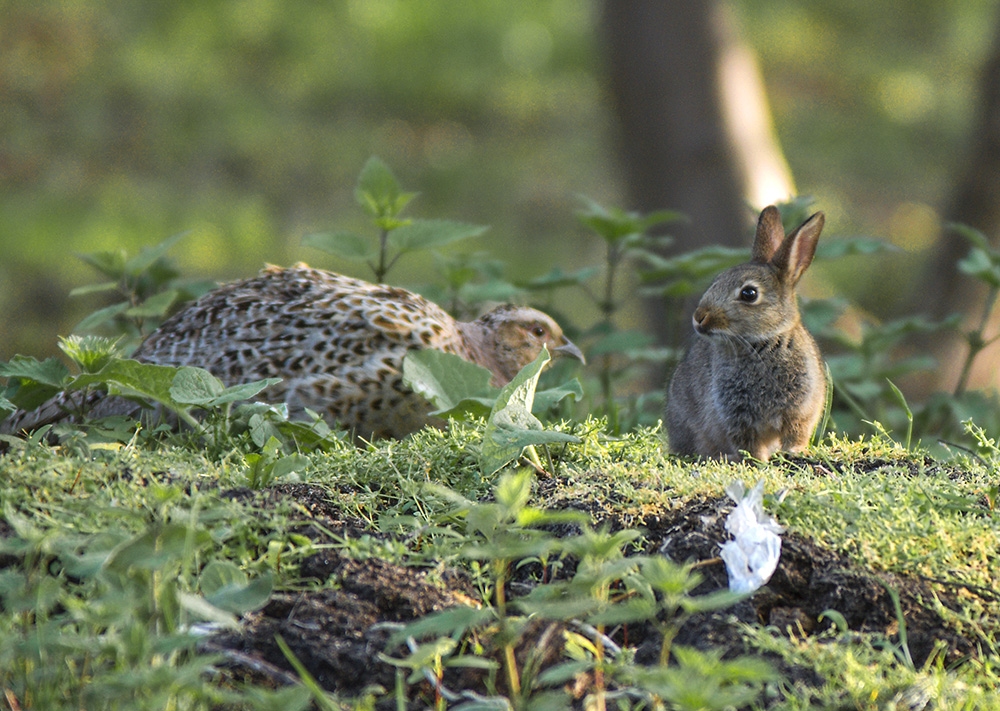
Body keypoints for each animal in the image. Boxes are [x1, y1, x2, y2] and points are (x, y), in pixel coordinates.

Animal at [664, 206, 828, 462]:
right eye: (716, 281)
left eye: (749, 293)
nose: (699, 317)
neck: (762, 342)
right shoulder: (734, 414)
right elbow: (746, 441)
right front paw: (755, 460)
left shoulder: (800, 408)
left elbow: (795, 433)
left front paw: (793, 452)